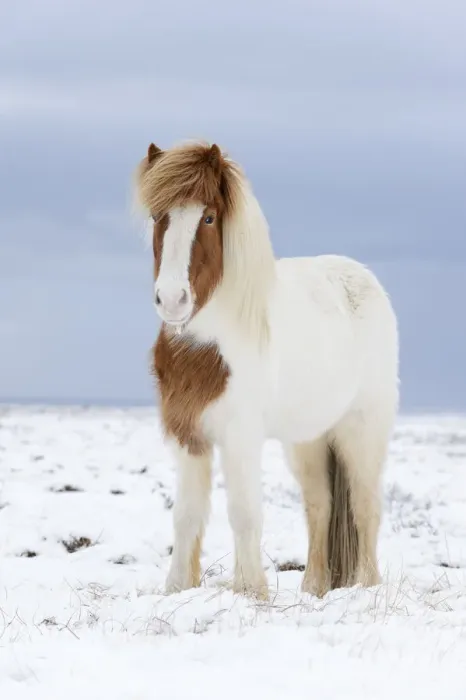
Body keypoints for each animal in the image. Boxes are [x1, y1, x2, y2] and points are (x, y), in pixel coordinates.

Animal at [134, 140, 399, 600]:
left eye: (208, 217)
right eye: (157, 216)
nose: (172, 300)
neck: (209, 349)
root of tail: (364, 279)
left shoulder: (240, 437)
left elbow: (243, 512)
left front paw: (251, 591)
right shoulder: (189, 438)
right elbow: (186, 515)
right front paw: (177, 589)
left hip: (361, 430)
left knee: (365, 508)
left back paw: (367, 587)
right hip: (309, 440)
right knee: (321, 505)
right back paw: (313, 589)